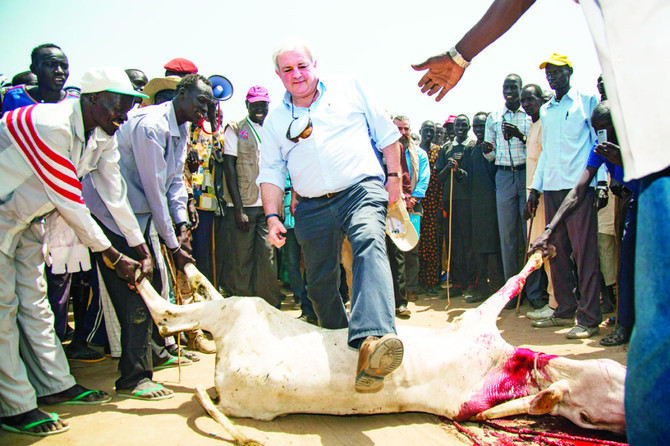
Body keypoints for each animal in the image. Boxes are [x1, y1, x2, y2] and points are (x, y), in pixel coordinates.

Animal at [135, 253, 624, 444]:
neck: (508, 367)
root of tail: (220, 388)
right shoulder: (475, 324)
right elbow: (510, 284)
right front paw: (540, 255)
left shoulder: (469, 404)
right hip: (245, 311)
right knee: (172, 312)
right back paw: (158, 266)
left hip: (241, 318)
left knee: (172, 314)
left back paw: (162, 274)